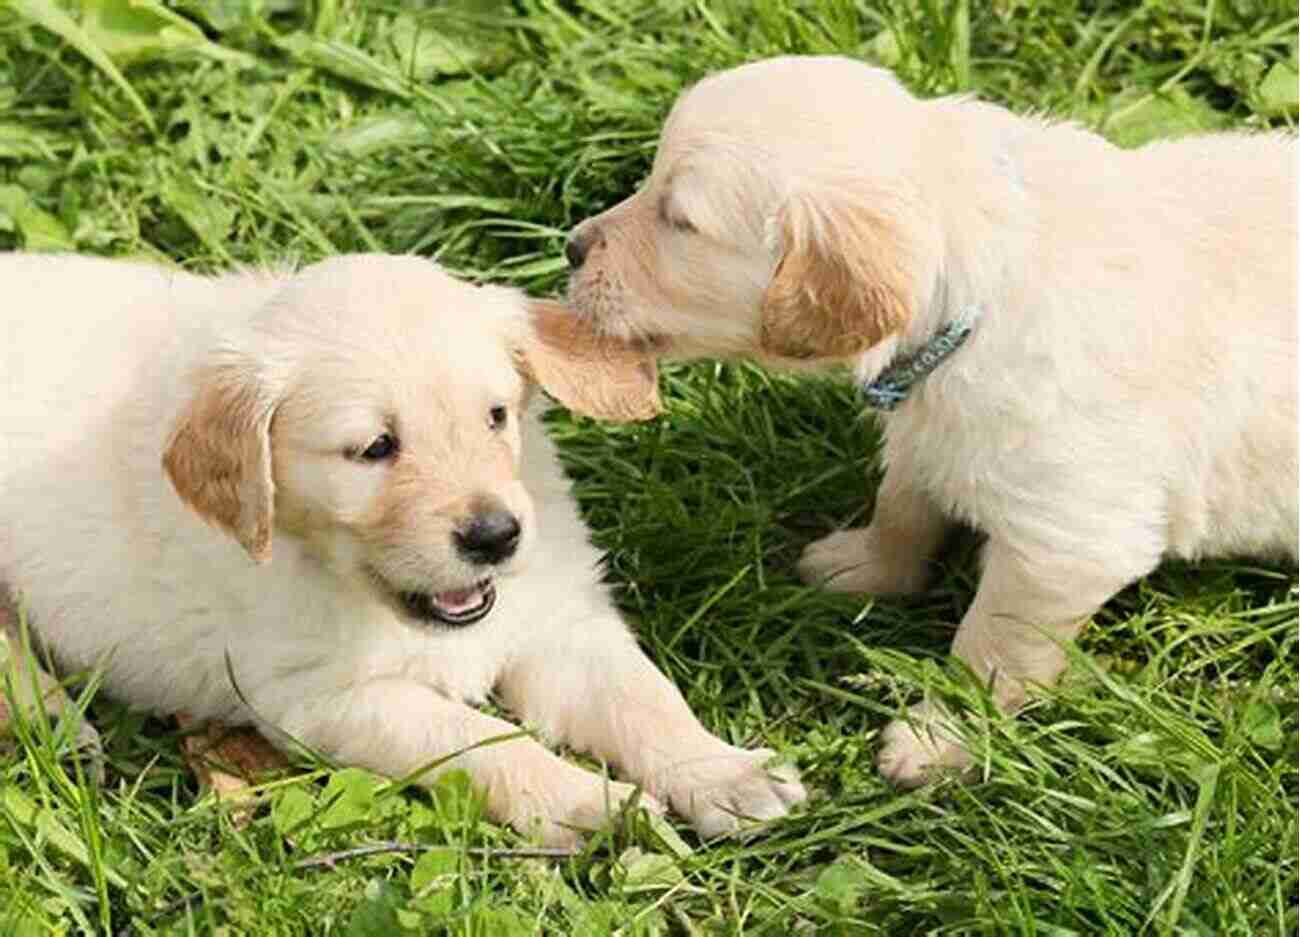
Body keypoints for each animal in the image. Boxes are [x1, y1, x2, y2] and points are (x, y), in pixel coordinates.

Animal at [2, 250, 800, 842]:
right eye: (374, 448)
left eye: (496, 416)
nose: (495, 536)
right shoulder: (323, 696)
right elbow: (480, 739)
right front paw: (586, 802)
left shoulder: (559, 620)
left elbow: (646, 700)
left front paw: (725, 772)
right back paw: (53, 719)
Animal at [564, 54, 1294, 784]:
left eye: (679, 220)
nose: (570, 247)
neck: (976, 295)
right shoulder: (926, 431)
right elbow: (902, 508)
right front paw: (864, 568)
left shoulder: (1065, 543)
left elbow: (990, 647)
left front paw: (943, 736)